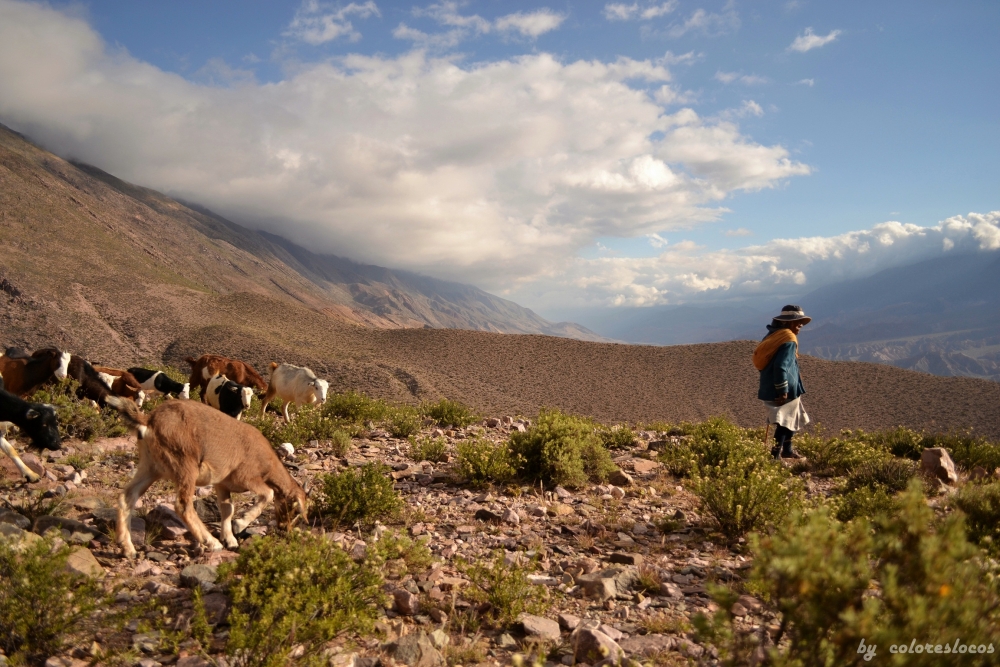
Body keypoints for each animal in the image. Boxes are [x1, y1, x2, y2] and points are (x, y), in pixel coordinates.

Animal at [105, 396, 308, 560]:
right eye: (296, 510)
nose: (285, 529)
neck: (267, 461)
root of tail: (148, 421)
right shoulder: (247, 477)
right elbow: (268, 494)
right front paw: (239, 524)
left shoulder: (222, 484)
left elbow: (227, 509)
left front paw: (230, 539)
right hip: (184, 464)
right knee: (183, 505)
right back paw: (211, 542)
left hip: (150, 467)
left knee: (127, 497)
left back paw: (128, 548)